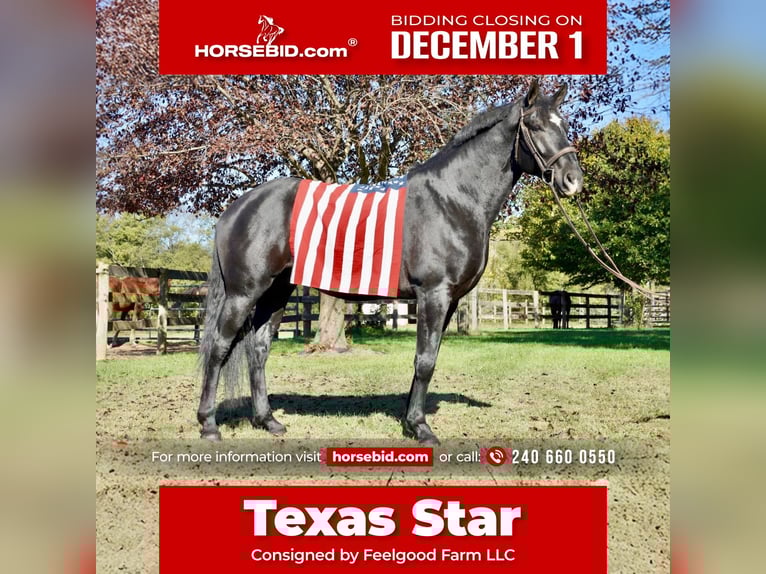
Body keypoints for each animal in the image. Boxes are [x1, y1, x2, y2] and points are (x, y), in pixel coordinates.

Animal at [198, 79, 583, 444]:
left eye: (564, 124)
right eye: (534, 125)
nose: (573, 181)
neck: (453, 198)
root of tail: (237, 207)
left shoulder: (448, 301)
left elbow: (428, 358)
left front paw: (410, 421)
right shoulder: (433, 295)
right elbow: (425, 361)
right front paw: (421, 428)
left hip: (275, 292)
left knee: (258, 350)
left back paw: (268, 421)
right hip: (243, 293)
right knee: (218, 347)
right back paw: (209, 425)